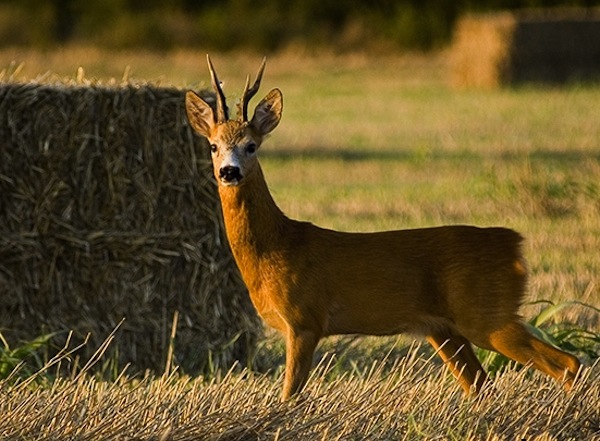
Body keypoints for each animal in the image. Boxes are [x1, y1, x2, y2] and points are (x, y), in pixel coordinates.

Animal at [184, 56, 580, 400]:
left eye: (251, 146)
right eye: (213, 146)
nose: (229, 172)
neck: (278, 246)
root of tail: (515, 242)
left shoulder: (305, 319)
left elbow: (289, 395)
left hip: (485, 314)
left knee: (567, 362)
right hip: (445, 329)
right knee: (482, 384)